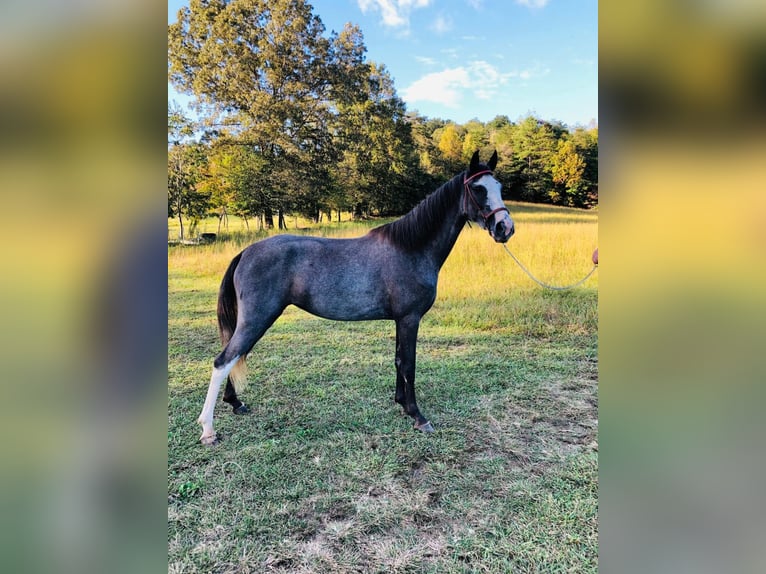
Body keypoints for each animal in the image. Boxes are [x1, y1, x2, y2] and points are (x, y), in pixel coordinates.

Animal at [201, 150, 520, 446]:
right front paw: (418, 416)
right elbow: (409, 364)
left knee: (232, 357)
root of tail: (246, 252)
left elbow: (398, 361)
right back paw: (208, 429)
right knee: (223, 361)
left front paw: (401, 404)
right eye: (478, 189)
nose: (505, 228)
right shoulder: (410, 319)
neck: (411, 248)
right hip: (256, 319)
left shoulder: (400, 320)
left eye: (499, 186)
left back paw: (235, 403)